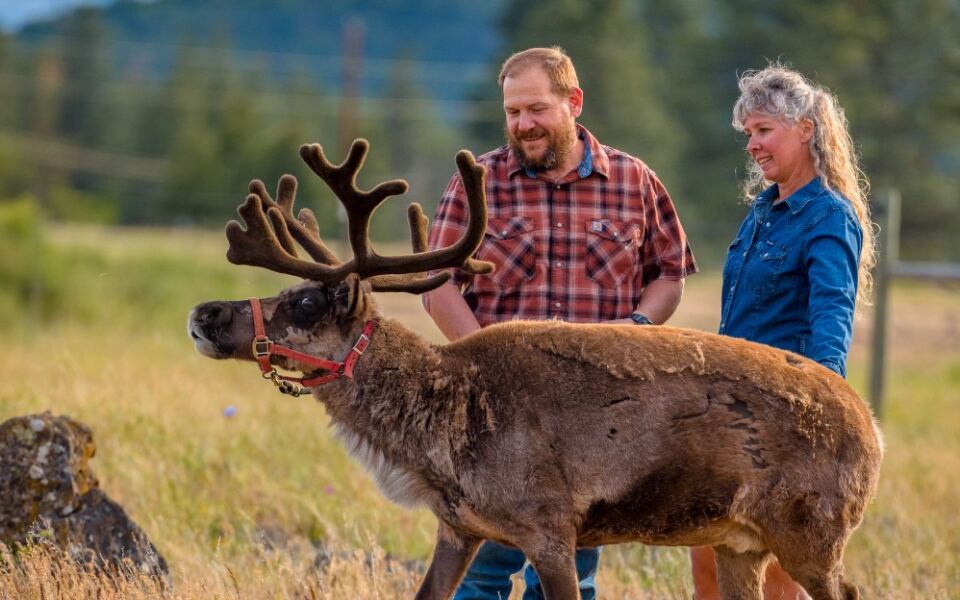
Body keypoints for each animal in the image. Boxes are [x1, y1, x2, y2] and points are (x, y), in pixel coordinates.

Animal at [187, 139, 883, 600]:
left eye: (306, 302)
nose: (204, 312)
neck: (443, 434)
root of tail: (873, 429)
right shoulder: (459, 528)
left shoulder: (551, 526)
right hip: (738, 542)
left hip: (811, 531)